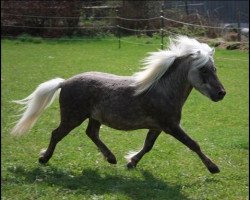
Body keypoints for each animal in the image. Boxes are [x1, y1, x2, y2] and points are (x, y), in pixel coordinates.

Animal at [11, 36, 227, 173]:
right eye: (204, 70)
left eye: (214, 69)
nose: (221, 93)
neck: (163, 90)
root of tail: (64, 83)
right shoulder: (171, 126)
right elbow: (193, 144)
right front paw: (214, 168)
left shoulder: (158, 127)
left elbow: (148, 145)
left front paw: (131, 162)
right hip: (72, 117)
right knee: (56, 134)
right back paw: (44, 158)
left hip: (93, 118)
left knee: (91, 133)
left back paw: (111, 158)